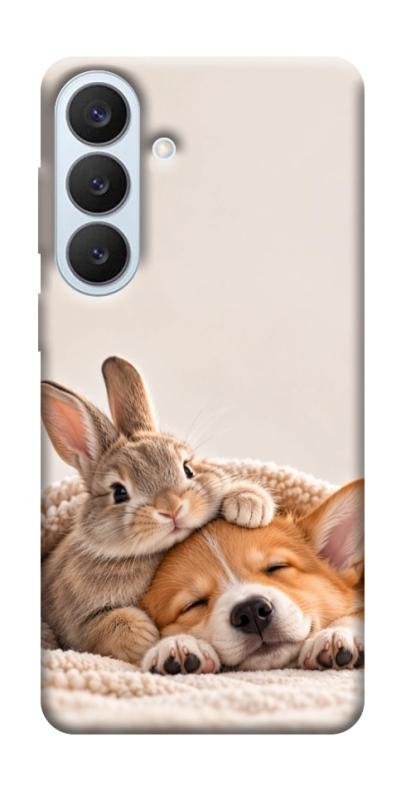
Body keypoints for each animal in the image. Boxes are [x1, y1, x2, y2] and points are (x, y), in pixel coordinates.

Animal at [41, 356, 276, 664]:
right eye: (119, 492)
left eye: (187, 469)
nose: (171, 508)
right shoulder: (79, 623)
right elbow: (110, 626)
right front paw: (147, 638)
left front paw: (249, 505)